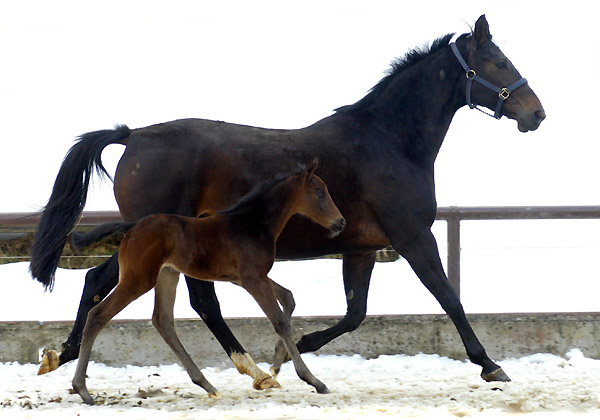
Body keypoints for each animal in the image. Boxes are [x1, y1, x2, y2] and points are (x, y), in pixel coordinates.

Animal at [73, 161, 346, 404]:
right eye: (319, 193)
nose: (340, 222)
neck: (252, 224)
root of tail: (132, 226)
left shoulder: (244, 278)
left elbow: (288, 297)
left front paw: (277, 364)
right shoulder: (253, 278)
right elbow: (279, 321)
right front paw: (313, 380)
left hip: (167, 275)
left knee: (163, 321)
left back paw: (206, 384)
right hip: (139, 279)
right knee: (98, 315)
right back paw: (82, 389)